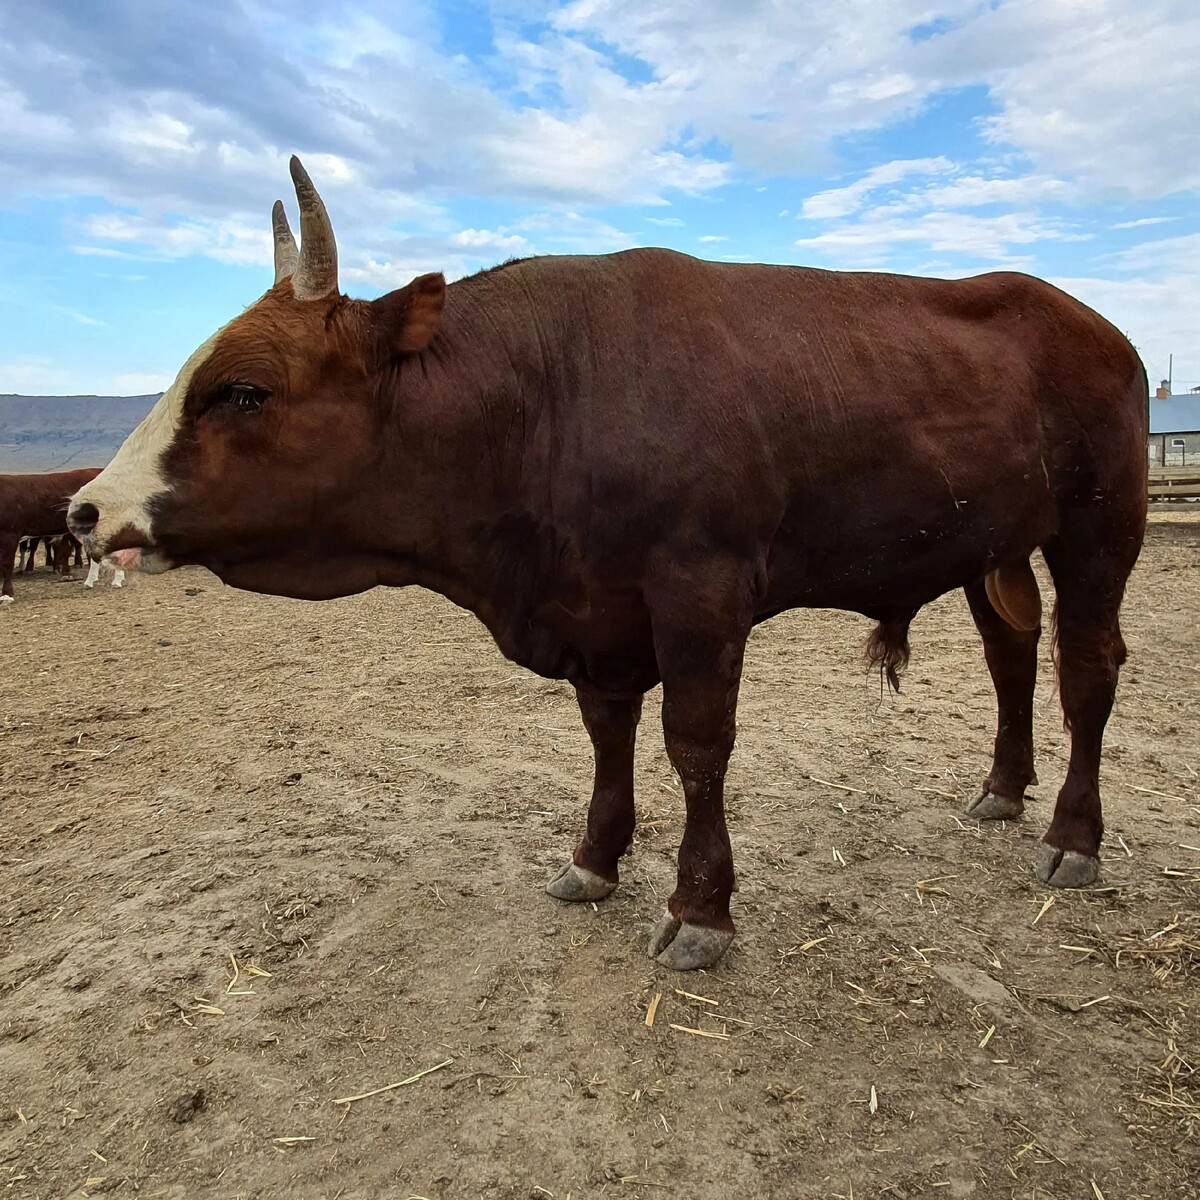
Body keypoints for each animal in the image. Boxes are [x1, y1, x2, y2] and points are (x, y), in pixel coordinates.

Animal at [70, 159, 1147, 969]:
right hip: (989, 547)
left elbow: (696, 746)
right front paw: (593, 858)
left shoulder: (699, 591)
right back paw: (1003, 789)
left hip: (1101, 528)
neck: (549, 395)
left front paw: (700, 910)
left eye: (244, 391)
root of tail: (1088, 320)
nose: (88, 510)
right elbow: (606, 733)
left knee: (1086, 670)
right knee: (1012, 657)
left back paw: (1071, 838)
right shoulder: (597, 607)